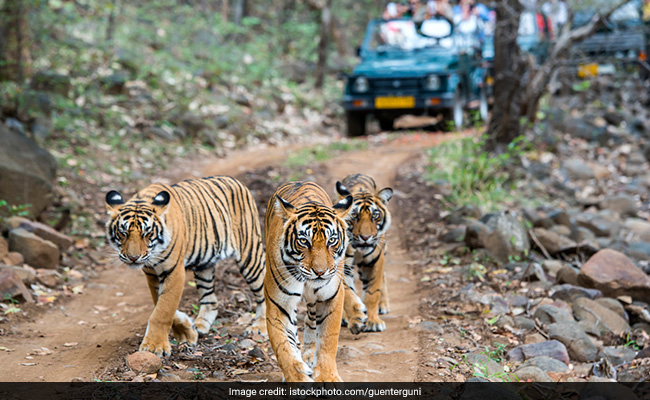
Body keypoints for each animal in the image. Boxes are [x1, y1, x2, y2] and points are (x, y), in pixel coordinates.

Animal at [105, 176, 266, 357]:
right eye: (123, 233)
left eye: (147, 233)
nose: (133, 258)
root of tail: (235, 181)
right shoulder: (152, 274)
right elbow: (159, 303)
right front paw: (187, 331)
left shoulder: (174, 271)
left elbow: (163, 310)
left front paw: (154, 346)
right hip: (204, 265)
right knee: (210, 299)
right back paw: (201, 326)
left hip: (250, 254)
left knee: (263, 292)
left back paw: (260, 327)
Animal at [264, 181, 353, 382]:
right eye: (304, 241)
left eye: (332, 240)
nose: (320, 272)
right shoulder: (278, 303)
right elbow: (283, 346)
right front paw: (297, 378)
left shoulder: (331, 297)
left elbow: (328, 339)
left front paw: (327, 377)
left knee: (312, 322)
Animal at [335, 173, 393, 333]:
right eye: (354, 215)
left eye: (375, 215)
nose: (365, 237)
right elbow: (347, 293)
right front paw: (356, 318)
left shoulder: (375, 261)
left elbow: (372, 292)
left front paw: (373, 322)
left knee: (384, 276)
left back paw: (383, 305)